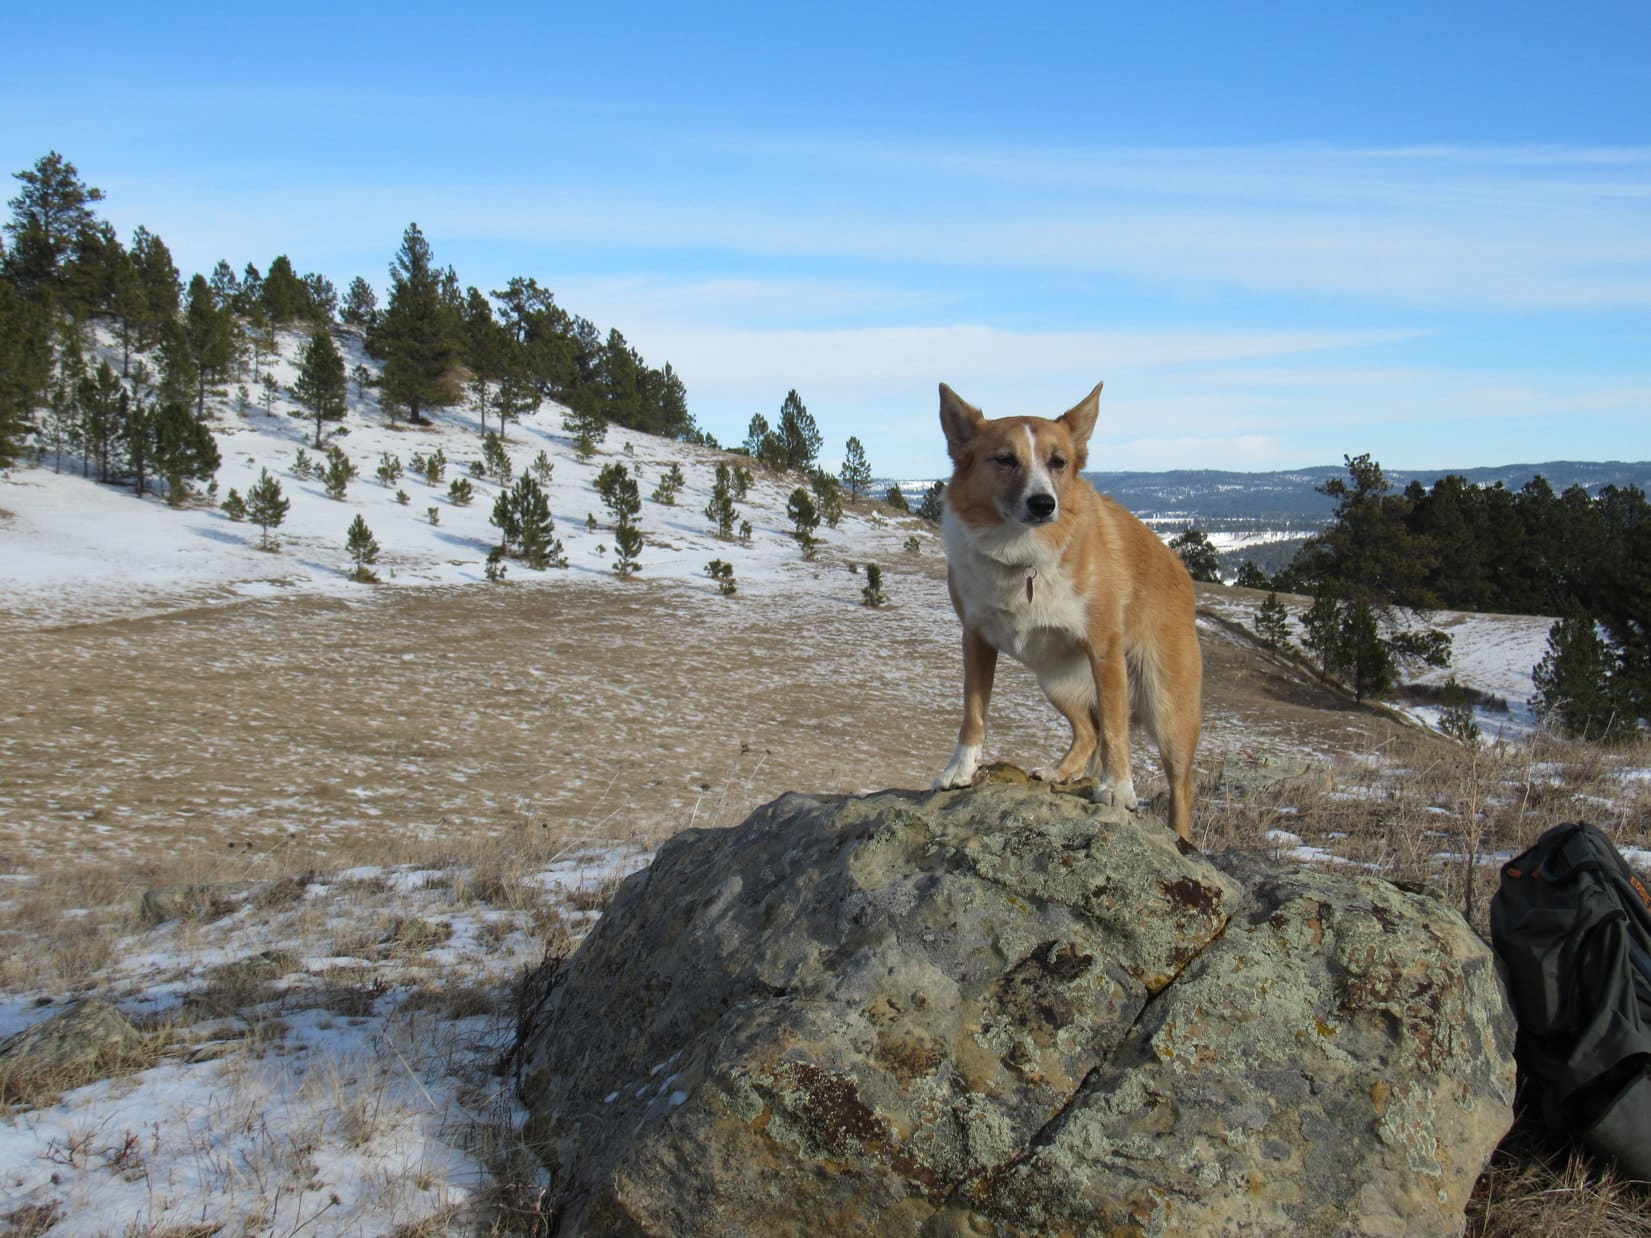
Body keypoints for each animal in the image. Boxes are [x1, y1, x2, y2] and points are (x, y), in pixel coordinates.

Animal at [932, 381, 1203, 841]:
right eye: (1005, 459)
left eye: (1058, 462)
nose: (1043, 503)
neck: (1022, 556)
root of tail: (1181, 570)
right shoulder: (976, 640)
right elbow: (973, 714)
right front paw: (960, 769)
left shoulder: (1104, 650)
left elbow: (1116, 729)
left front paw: (1117, 789)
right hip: (1057, 681)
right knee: (1087, 732)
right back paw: (1061, 772)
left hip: (1168, 709)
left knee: (1180, 785)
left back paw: (1181, 838)